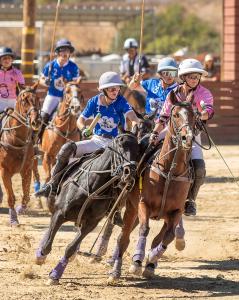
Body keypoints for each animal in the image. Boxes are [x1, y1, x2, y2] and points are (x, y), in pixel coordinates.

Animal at [0, 83, 41, 226]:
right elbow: (11, 197)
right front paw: (13, 220)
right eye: (24, 100)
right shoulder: (4, 171)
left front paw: (20, 209)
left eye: (38, 99)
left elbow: (26, 196)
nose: (36, 121)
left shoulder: (27, 170)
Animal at [34, 133, 141, 284]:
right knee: (69, 146)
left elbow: (71, 248)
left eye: (138, 151)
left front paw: (55, 275)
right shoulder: (60, 213)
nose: (129, 172)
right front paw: (40, 256)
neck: (93, 185)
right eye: (120, 145)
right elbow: (48, 243)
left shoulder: (91, 223)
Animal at [108, 102, 196, 282]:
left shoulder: (175, 212)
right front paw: (137, 262)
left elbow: (166, 236)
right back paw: (115, 270)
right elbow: (144, 229)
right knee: (123, 237)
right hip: (131, 209)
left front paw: (150, 260)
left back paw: (148, 263)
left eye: (193, 115)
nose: (188, 138)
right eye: (175, 115)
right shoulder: (143, 204)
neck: (169, 173)